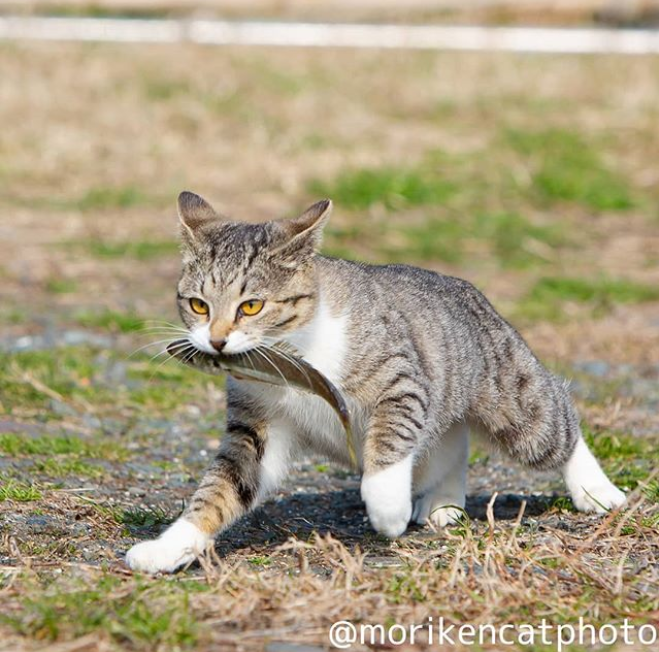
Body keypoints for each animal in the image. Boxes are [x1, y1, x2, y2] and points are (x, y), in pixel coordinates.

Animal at [125, 191, 628, 572]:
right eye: (198, 304)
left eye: (251, 306)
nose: (216, 341)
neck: (294, 350)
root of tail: (473, 293)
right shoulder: (258, 424)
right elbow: (223, 487)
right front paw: (169, 547)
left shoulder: (401, 381)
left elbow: (389, 441)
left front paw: (386, 507)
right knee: (452, 439)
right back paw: (445, 502)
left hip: (511, 397)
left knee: (553, 417)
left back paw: (597, 492)